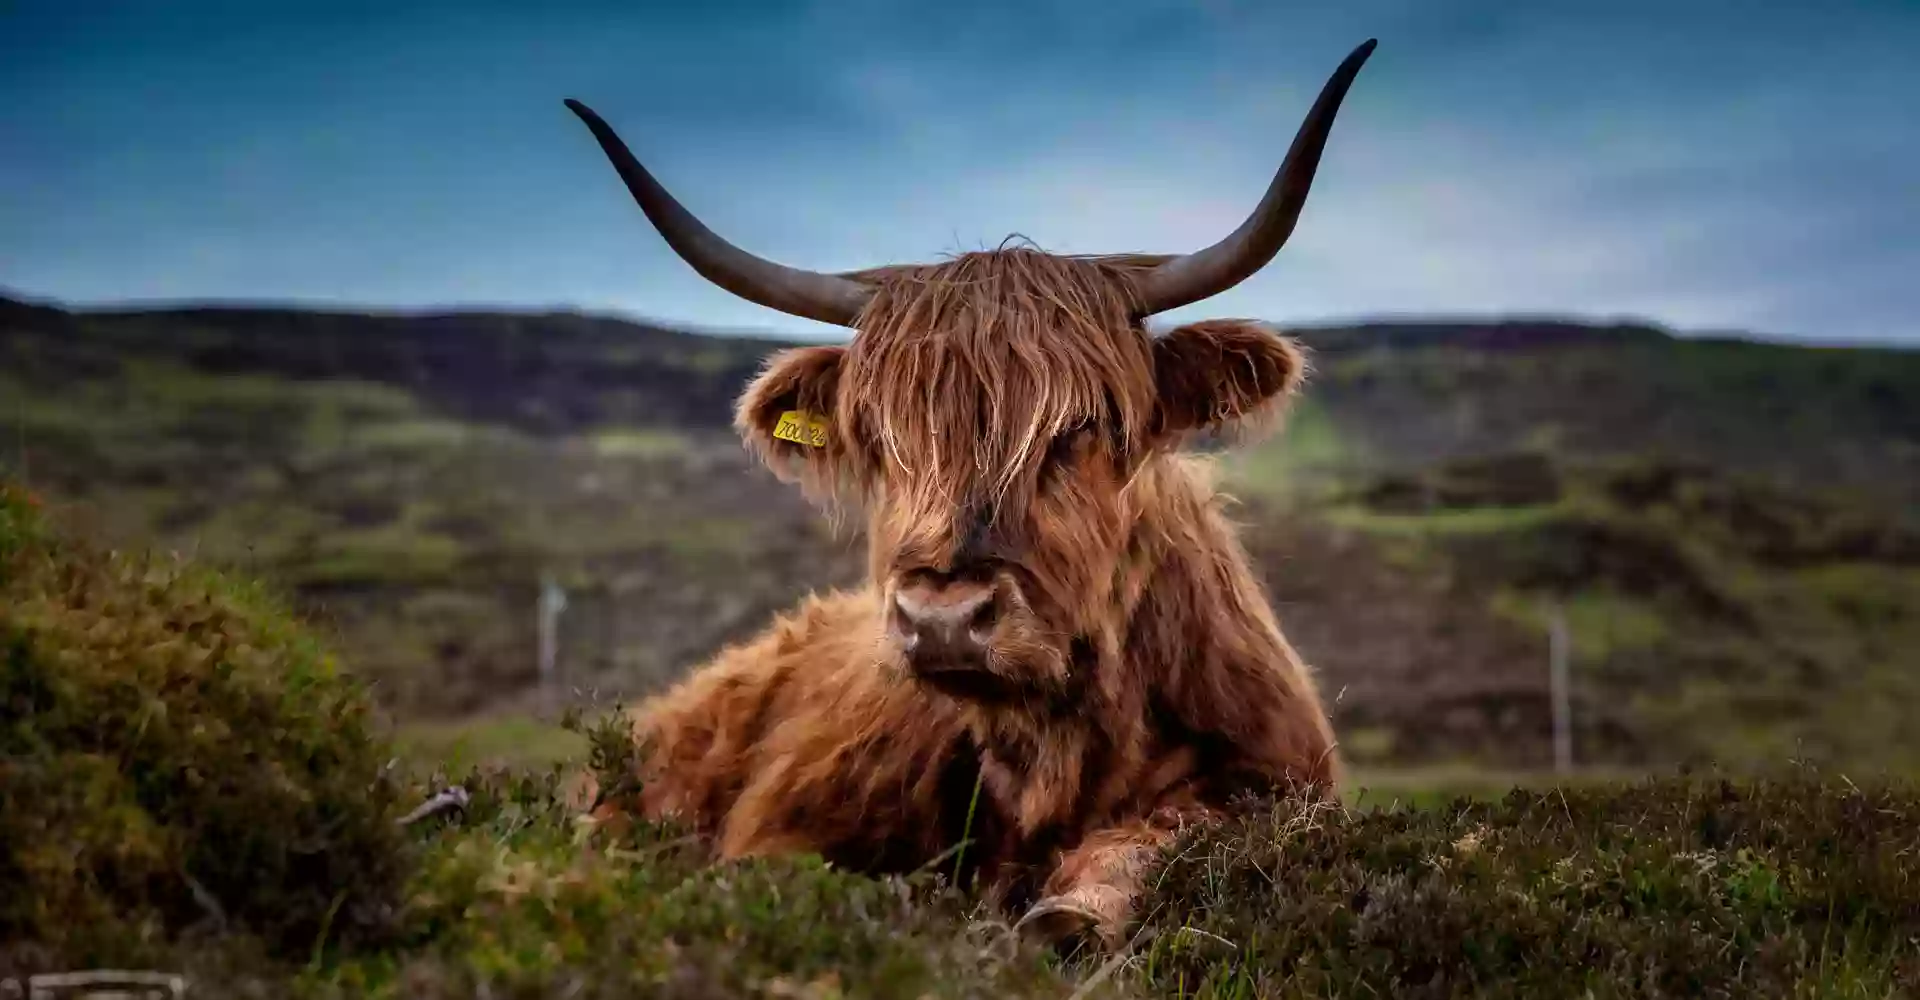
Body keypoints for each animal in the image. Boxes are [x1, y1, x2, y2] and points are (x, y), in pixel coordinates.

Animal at [560, 36, 1374, 944]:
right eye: (880, 437)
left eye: (1081, 427)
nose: (943, 618)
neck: (1053, 755)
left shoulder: (1275, 784)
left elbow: (1159, 841)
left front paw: (1072, 912)